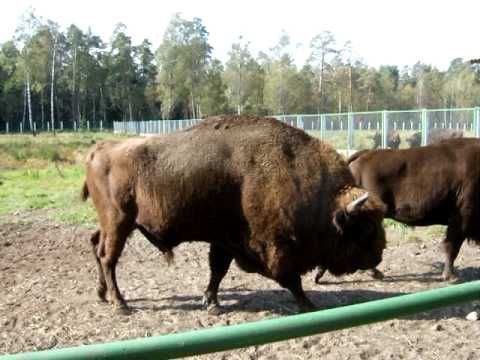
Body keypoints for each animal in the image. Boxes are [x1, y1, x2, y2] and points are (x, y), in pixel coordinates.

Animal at [79, 114, 386, 312]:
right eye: (366, 227)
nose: (379, 253)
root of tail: (98, 150)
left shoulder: (225, 240)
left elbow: (218, 270)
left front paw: (211, 303)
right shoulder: (273, 248)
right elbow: (290, 279)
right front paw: (308, 304)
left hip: (115, 224)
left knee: (96, 246)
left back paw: (102, 295)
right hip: (119, 222)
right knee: (108, 258)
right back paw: (120, 304)